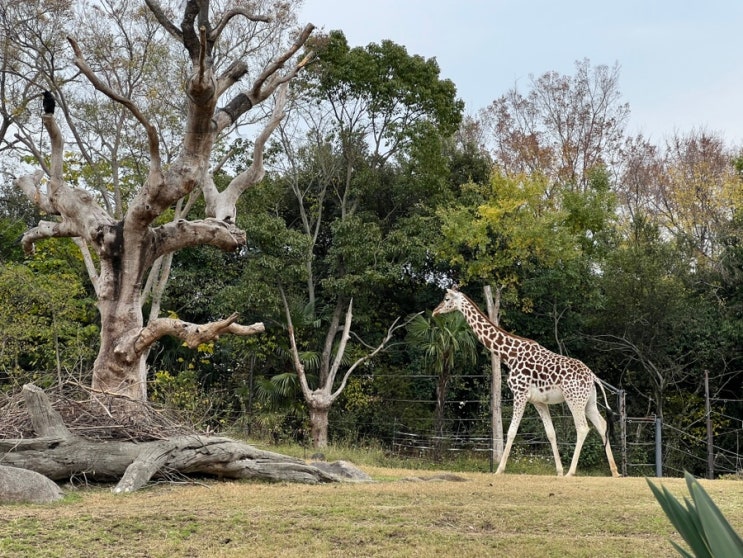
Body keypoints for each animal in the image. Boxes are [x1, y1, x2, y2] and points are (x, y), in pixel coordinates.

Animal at [434, 290, 620, 480]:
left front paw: (499, 470)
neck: (509, 355)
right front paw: (559, 471)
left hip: (574, 399)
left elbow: (511, 431)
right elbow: (551, 433)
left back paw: (571, 472)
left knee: (583, 428)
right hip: (589, 401)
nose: (435, 312)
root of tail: (593, 377)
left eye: (446, 299)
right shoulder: (538, 401)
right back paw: (614, 472)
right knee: (602, 425)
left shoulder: (520, 393)